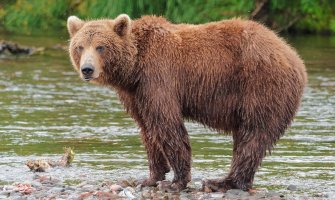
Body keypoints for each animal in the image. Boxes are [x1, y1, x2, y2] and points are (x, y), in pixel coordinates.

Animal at [67, 14, 308, 192]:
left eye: (101, 47)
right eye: (80, 46)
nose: (87, 69)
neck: (133, 68)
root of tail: (294, 57)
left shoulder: (158, 77)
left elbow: (167, 125)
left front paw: (175, 182)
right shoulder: (136, 93)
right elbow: (147, 129)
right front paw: (150, 177)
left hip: (261, 86)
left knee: (253, 135)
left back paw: (222, 182)